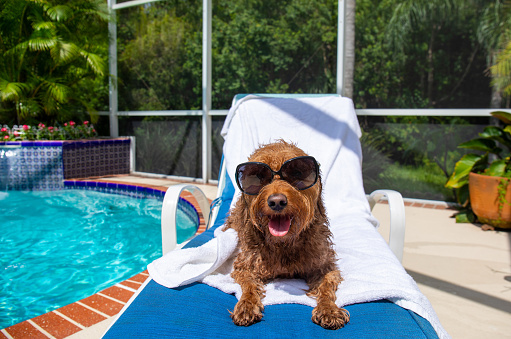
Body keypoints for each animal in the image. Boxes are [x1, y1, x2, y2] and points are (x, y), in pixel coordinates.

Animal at [225, 139, 350, 330]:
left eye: (297, 173)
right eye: (258, 176)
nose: (277, 201)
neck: (283, 243)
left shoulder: (325, 267)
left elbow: (326, 287)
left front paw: (328, 309)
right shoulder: (244, 266)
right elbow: (249, 286)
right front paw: (246, 305)